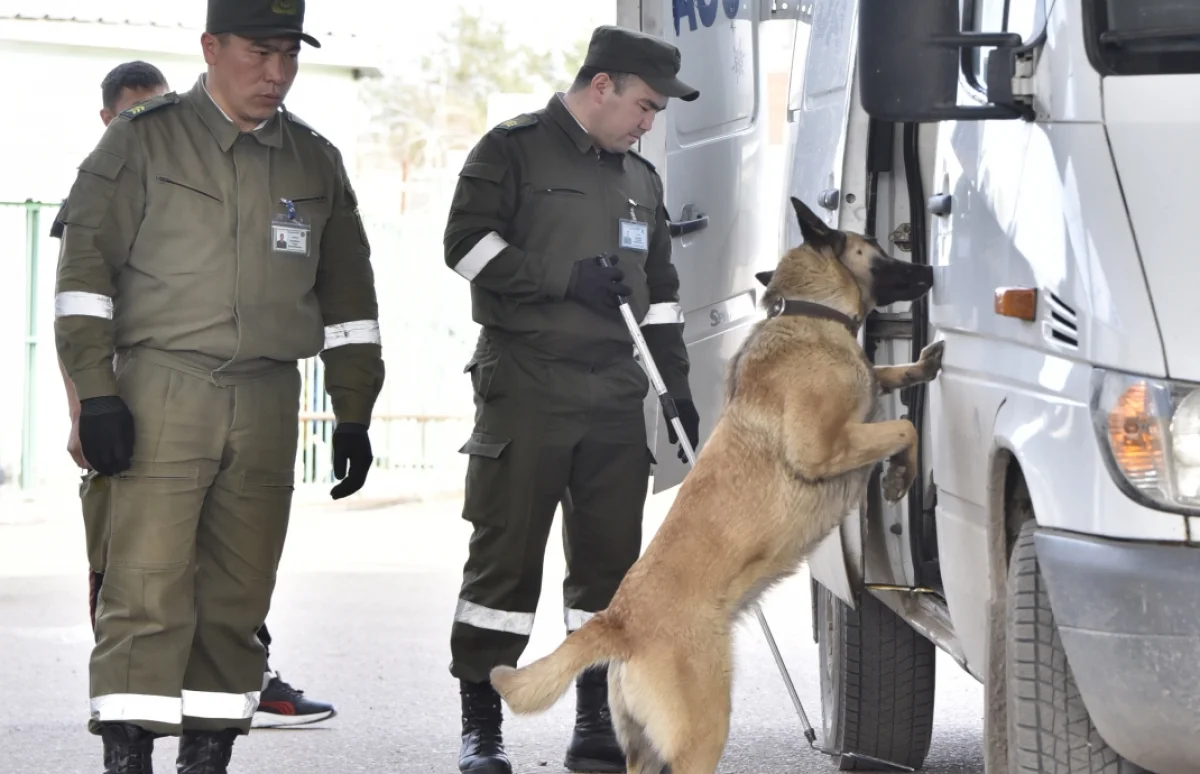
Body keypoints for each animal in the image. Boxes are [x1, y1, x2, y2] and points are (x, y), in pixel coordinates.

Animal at [487, 196, 945, 768]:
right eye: (879, 250)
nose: (930, 269)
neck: (810, 312)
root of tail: (615, 620)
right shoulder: (822, 448)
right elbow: (904, 428)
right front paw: (901, 477)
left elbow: (882, 378)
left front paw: (918, 367)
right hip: (703, 733)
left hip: (646, 751)